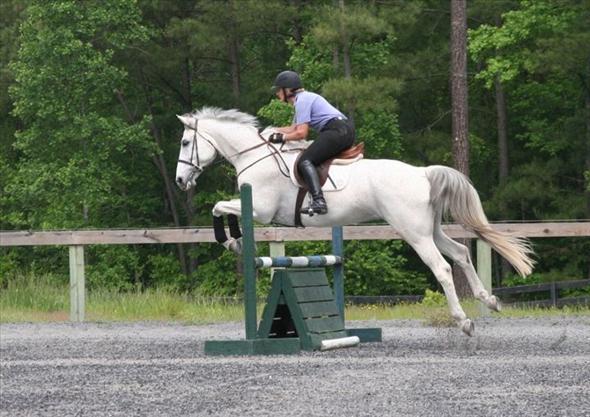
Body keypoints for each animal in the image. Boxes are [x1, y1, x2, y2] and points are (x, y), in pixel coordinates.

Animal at [176, 107, 536, 334]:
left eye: (184, 142)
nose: (181, 181)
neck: (253, 155)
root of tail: (422, 173)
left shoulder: (260, 210)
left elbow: (219, 208)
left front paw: (232, 240)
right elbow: (221, 208)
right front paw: (235, 240)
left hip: (413, 231)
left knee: (442, 267)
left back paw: (463, 321)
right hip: (429, 228)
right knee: (460, 254)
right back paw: (489, 300)